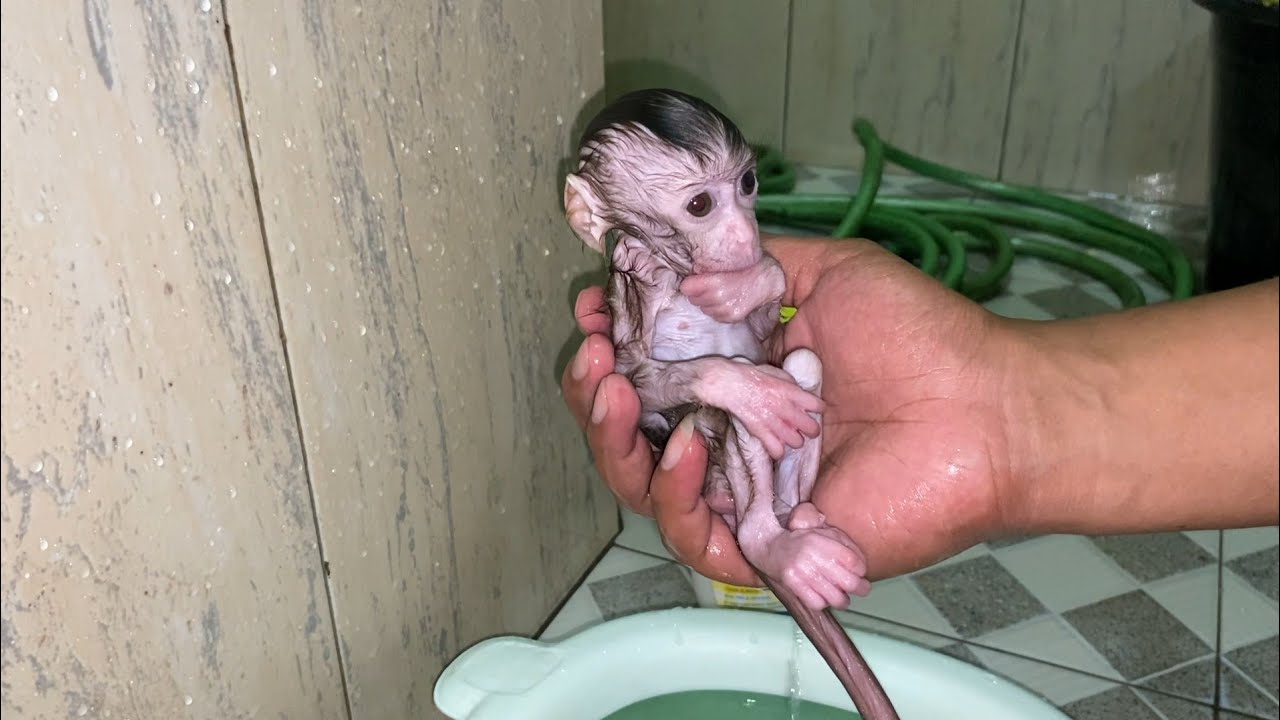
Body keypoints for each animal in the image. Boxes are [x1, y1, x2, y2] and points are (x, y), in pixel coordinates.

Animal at [563, 88, 900, 720]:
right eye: (699, 204)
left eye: (748, 183)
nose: (745, 233)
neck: (676, 274)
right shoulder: (627, 299)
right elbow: (636, 379)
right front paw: (744, 386)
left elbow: (768, 325)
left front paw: (748, 281)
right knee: (724, 420)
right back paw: (772, 543)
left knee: (803, 366)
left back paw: (798, 514)